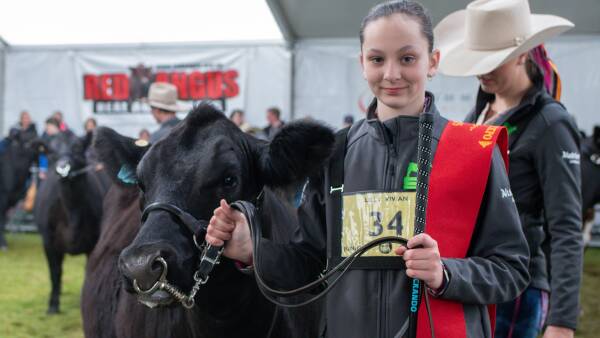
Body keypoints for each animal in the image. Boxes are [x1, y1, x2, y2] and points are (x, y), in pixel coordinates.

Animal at [34, 131, 110, 312]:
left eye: (77, 147)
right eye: (51, 152)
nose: (63, 168)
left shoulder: (94, 243)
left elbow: (89, 270)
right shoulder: (48, 242)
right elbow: (55, 272)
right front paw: (53, 305)